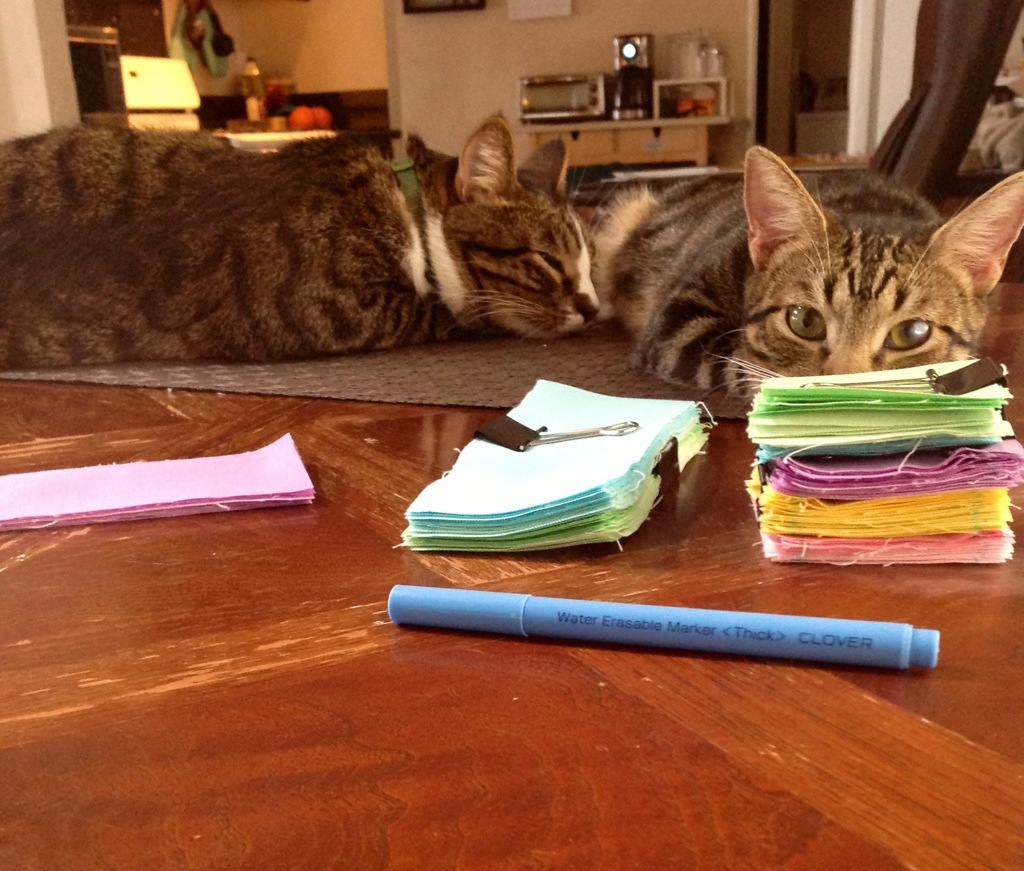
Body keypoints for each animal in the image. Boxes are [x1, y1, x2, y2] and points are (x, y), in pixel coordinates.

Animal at [0, 114, 598, 367]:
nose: (594, 308)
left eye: (590, 264)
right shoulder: (330, 310)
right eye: (548, 260)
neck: (404, 211)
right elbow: (452, 312)